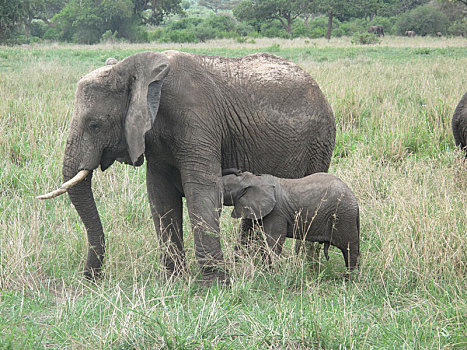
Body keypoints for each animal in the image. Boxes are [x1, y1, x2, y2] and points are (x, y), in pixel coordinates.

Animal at [37, 50, 336, 284]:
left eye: (94, 125)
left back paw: (306, 270)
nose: (90, 280)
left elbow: (202, 193)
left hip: (320, 141)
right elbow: (160, 198)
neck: (140, 72)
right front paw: (174, 282)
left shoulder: (197, 119)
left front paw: (213, 286)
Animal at [223, 170, 362, 270]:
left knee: (349, 248)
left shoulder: (276, 212)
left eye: (225, 188)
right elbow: (251, 237)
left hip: (343, 216)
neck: (254, 179)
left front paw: (270, 273)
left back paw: (349, 279)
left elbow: (273, 242)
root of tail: (355, 202)